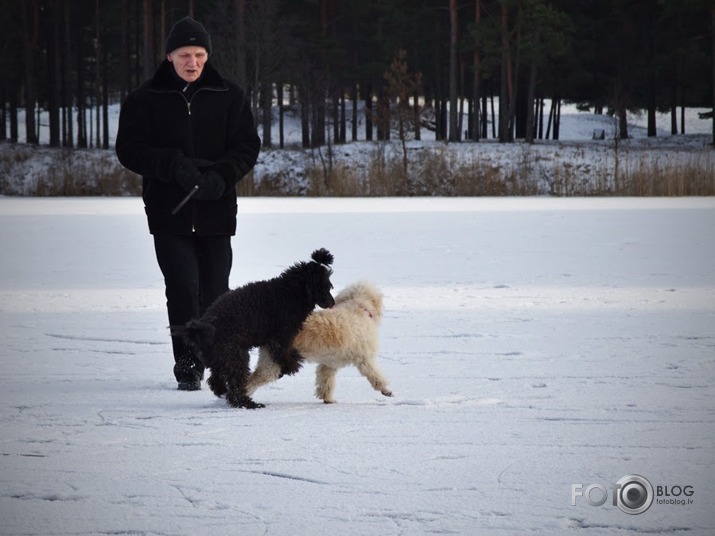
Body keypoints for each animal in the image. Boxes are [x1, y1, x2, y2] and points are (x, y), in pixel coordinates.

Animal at [171, 249, 336, 408]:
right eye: (325, 287)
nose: (332, 303)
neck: (290, 293)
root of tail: (202, 330)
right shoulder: (281, 335)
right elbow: (283, 353)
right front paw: (291, 366)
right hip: (235, 355)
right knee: (235, 387)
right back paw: (248, 404)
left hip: (220, 356)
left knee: (216, 378)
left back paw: (222, 391)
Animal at [245, 280, 392, 402]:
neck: (359, 308)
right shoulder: (365, 359)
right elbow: (375, 375)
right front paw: (386, 390)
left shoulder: (329, 364)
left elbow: (326, 381)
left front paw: (328, 399)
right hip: (274, 362)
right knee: (254, 379)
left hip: (268, 358)